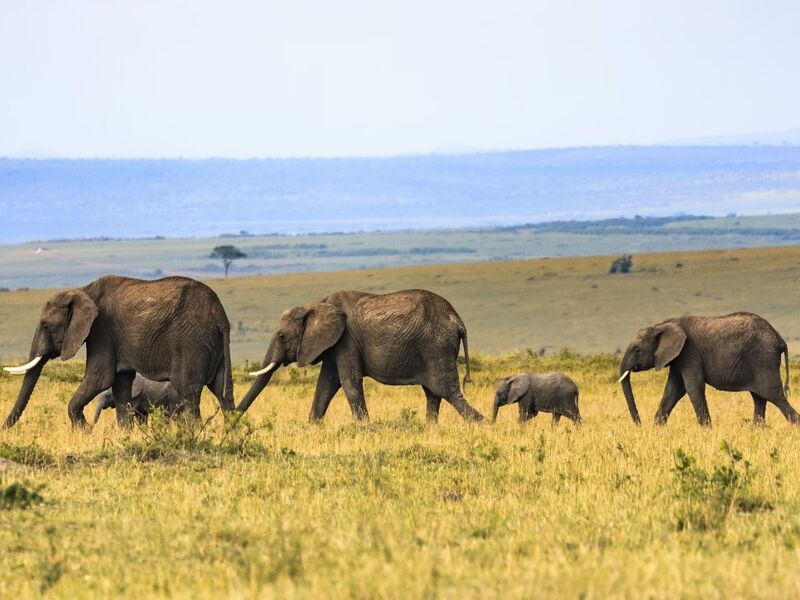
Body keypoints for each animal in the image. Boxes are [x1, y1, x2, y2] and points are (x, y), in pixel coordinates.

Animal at [2, 274, 234, 428]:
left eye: (45, 326)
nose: (4, 429)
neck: (84, 290)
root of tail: (220, 315)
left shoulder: (101, 330)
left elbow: (100, 378)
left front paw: (84, 432)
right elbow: (121, 384)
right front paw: (125, 435)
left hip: (191, 343)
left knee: (189, 393)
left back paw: (192, 435)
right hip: (214, 344)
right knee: (223, 392)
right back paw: (232, 433)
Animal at [238, 290, 484, 422]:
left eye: (281, 336)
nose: (233, 419)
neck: (316, 304)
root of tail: (459, 322)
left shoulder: (346, 340)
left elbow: (349, 381)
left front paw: (365, 428)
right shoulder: (334, 344)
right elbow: (326, 384)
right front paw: (311, 426)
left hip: (436, 347)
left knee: (447, 391)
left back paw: (484, 425)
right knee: (433, 394)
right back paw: (429, 428)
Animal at [616, 312, 796, 424]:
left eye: (636, 350)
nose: (639, 424)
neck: (662, 325)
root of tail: (780, 339)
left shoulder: (689, 353)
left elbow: (692, 388)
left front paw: (707, 430)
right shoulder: (679, 358)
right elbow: (673, 390)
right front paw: (657, 429)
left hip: (763, 359)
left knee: (773, 395)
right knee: (759, 399)